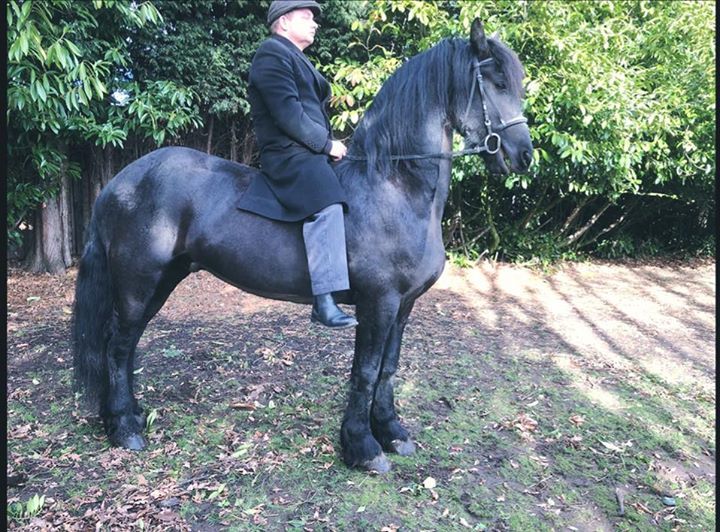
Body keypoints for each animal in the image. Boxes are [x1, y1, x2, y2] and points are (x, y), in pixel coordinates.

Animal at [73, 19, 533, 473]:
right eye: (495, 81)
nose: (524, 156)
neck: (394, 187)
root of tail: (120, 182)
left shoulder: (403, 305)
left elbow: (389, 367)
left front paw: (392, 431)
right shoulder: (378, 302)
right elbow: (366, 371)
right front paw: (362, 447)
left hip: (160, 282)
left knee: (125, 345)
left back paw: (126, 417)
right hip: (138, 284)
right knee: (118, 346)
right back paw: (125, 429)